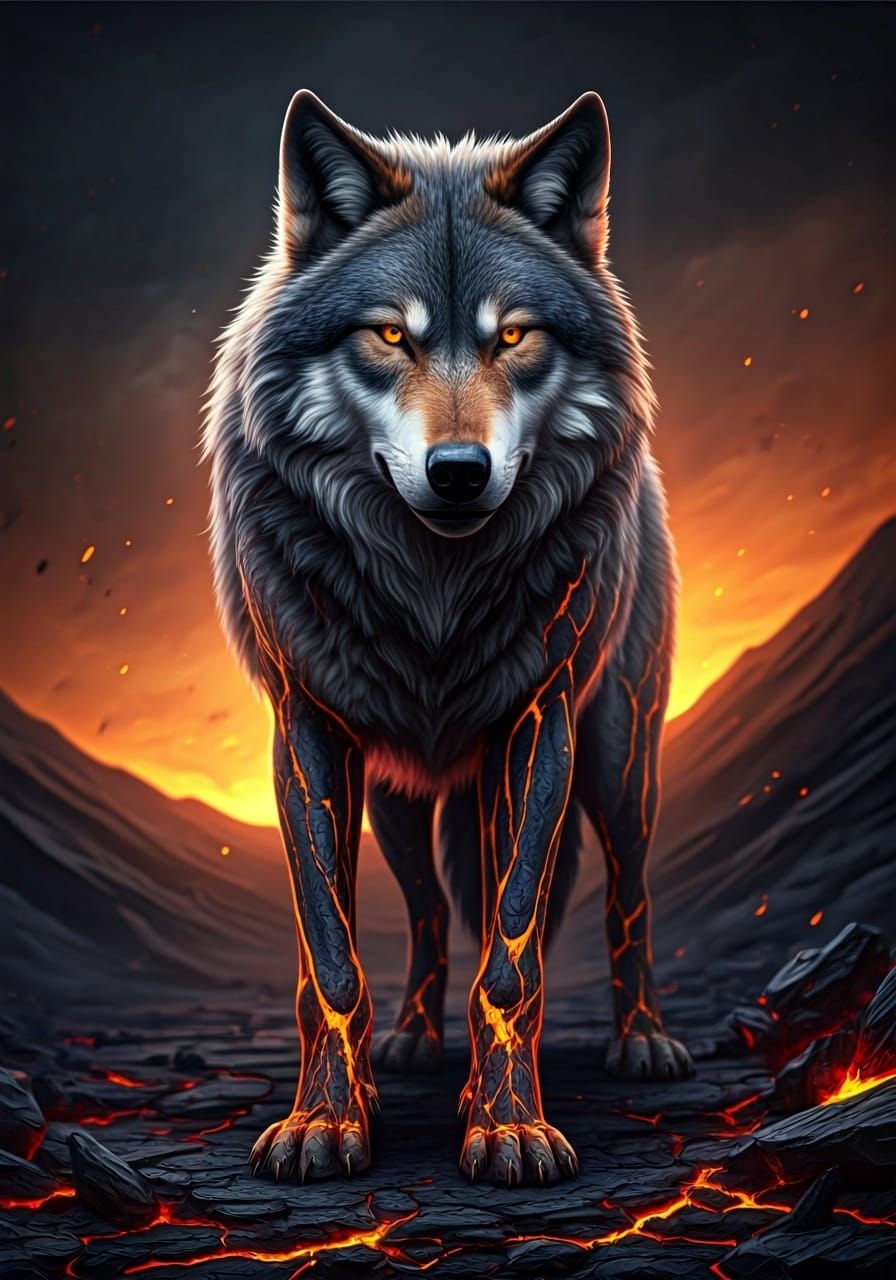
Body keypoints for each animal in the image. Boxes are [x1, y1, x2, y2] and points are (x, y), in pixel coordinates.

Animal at [203, 89, 693, 1188]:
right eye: (390, 333)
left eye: (513, 336)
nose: (460, 471)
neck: (434, 590)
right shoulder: (308, 733)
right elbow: (330, 959)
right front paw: (325, 1123)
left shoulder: (538, 726)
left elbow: (511, 957)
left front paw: (507, 1128)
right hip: (396, 801)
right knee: (428, 912)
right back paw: (417, 1044)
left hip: (616, 762)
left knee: (630, 893)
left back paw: (640, 1039)